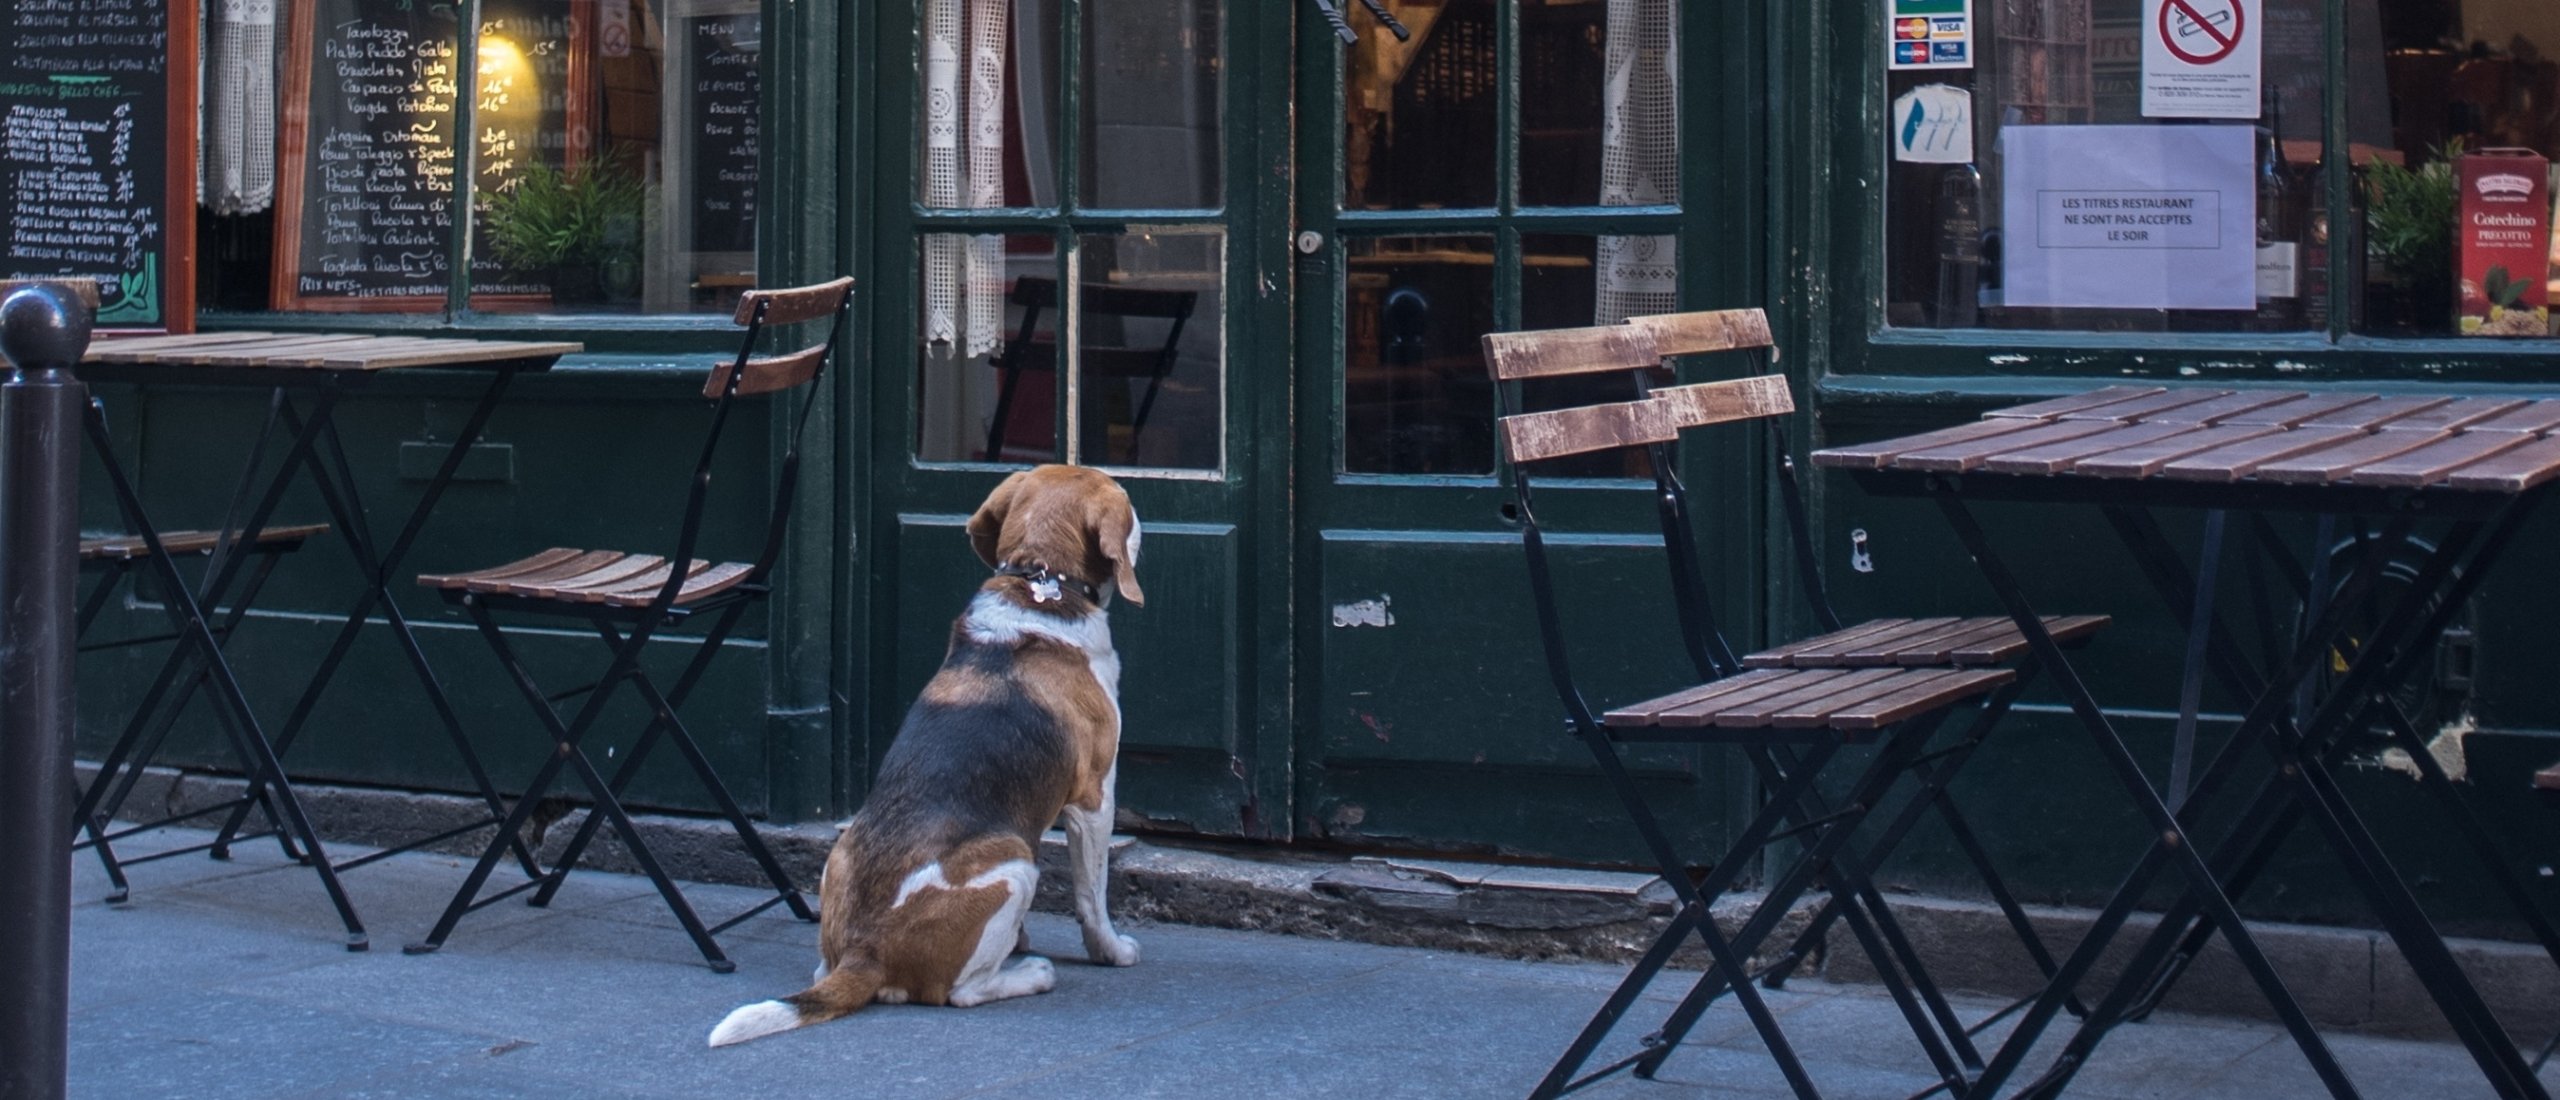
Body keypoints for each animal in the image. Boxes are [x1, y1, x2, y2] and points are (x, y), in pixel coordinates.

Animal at [701, 463, 1141, 1048]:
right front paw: (1110, 951)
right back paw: (1029, 974)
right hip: (1014, 861)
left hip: (843, 862)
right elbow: (1094, 896)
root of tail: (864, 953)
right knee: (958, 993)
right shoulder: (1095, 796)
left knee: (825, 969)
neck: (1040, 584)